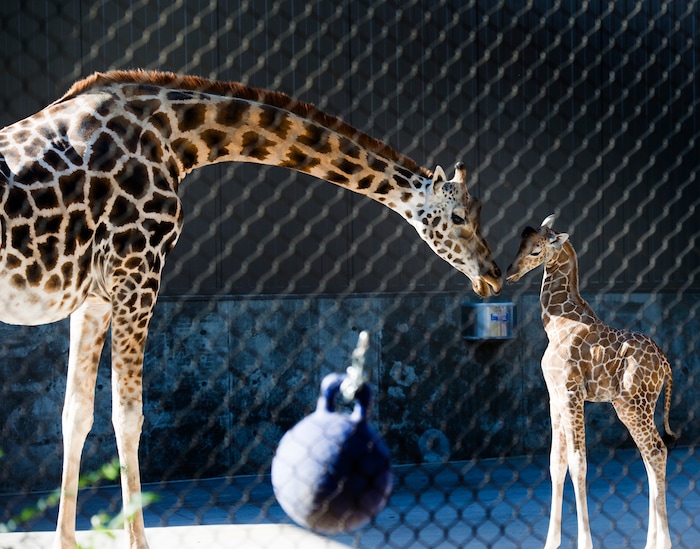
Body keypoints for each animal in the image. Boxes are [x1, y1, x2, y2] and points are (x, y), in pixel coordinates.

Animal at [0, 70, 502, 549]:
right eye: (458, 217)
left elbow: (76, 414)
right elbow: (128, 418)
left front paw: (65, 541)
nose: (493, 276)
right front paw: (138, 542)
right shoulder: (138, 273)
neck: (177, 138)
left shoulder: (96, 298)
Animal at [505, 215, 676, 549]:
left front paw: (584, 542)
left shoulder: (572, 393)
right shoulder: (554, 396)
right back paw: (650, 541)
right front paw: (551, 542)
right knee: (651, 456)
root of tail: (665, 362)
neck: (556, 323)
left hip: (632, 405)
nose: (509, 275)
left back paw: (662, 542)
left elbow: (578, 463)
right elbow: (556, 464)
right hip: (640, 406)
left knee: (655, 451)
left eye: (536, 250)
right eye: (519, 244)